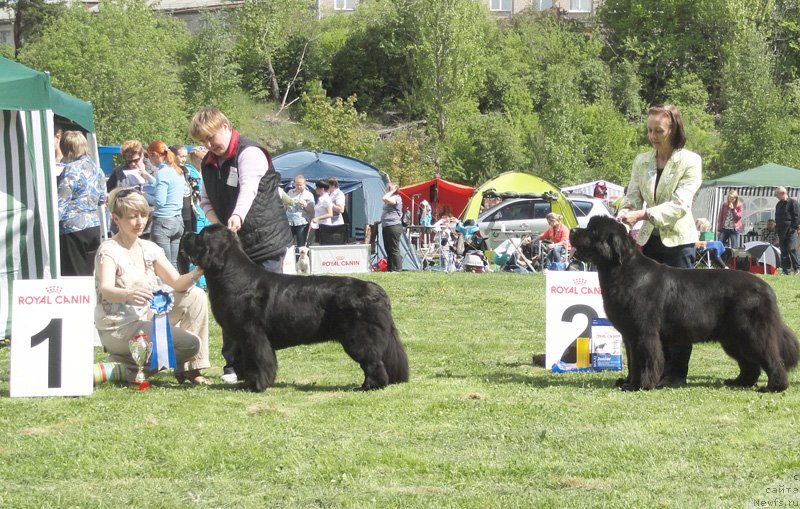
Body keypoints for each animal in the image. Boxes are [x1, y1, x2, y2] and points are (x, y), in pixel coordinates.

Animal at [179, 223, 410, 392]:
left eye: (200, 236)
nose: (186, 233)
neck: (229, 274)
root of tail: (378, 292)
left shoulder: (253, 335)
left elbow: (258, 361)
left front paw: (257, 385)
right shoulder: (244, 338)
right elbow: (248, 362)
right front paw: (248, 383)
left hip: (359, 338)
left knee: (373, 362)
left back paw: (369, 386)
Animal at [572, 216, 796, 390]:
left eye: (592, 231)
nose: (573, 229)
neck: (623, 272)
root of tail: (766, 287)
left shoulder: (645, 332)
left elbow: (647, 359)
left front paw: (642, 385)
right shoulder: (630, 335)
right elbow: (634, 361)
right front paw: (628, 383)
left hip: (751, 331)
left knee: (770, 357)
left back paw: (774, 386)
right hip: (733, 337)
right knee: (750, 364)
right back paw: (739, 382)